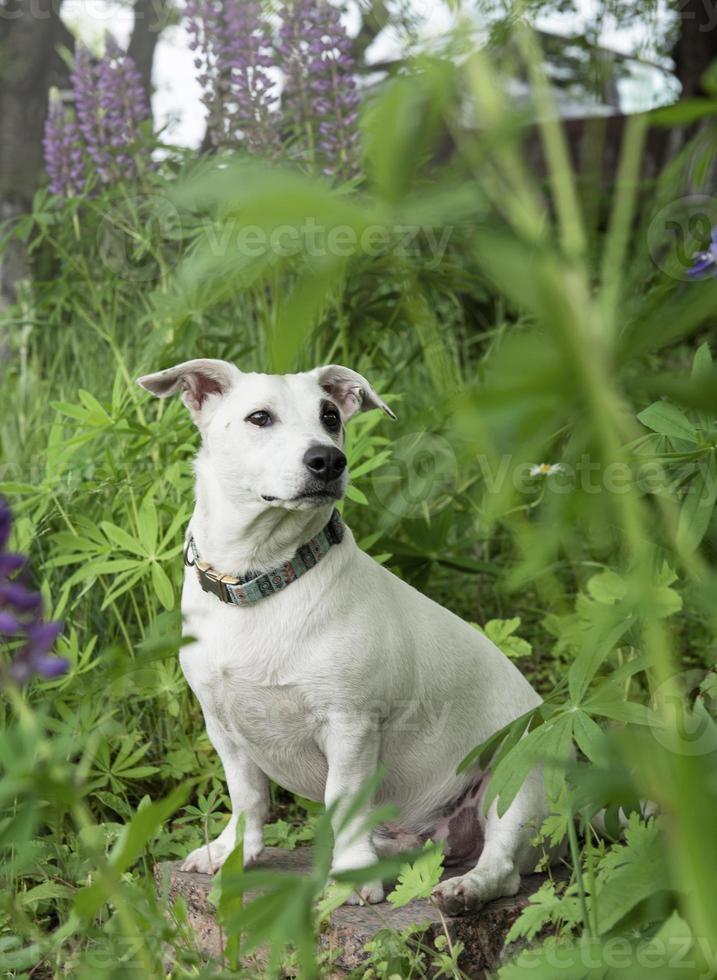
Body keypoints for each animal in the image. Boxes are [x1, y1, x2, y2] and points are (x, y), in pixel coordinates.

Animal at [137, 358, 544, 912]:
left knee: (503, 866)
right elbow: (247, 796)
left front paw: (350, 878)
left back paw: (465, 887)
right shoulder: (223, 727)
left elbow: (344, 799)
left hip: (515, 777)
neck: (262, 578)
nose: (328, 459)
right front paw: (233, 851)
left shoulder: (350, 727)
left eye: (330, 416)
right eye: (259, 417)